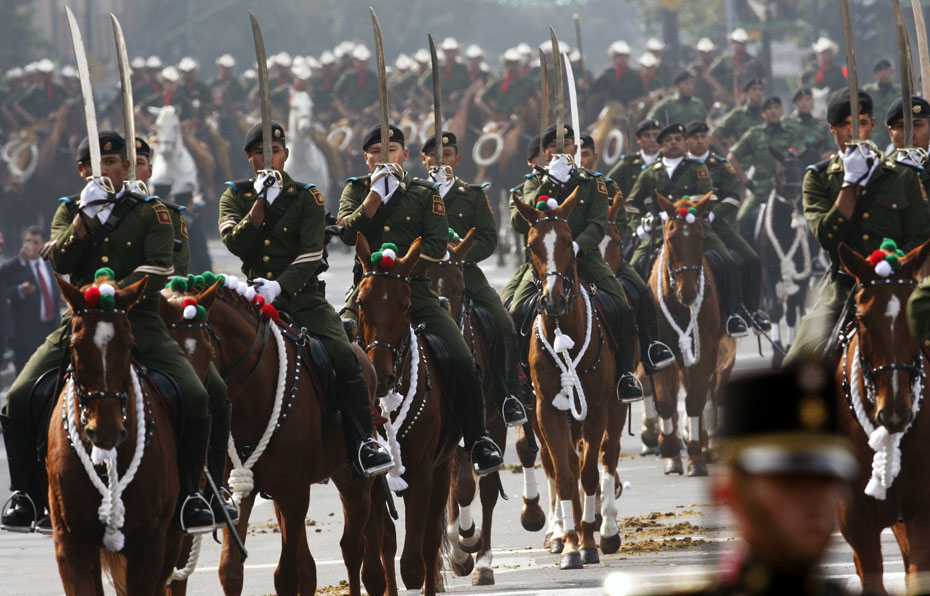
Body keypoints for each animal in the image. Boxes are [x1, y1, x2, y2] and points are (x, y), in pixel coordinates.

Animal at [162, 276, 376, 596]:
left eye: (208, 352)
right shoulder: (240, 490)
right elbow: (231, 570)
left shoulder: (294, 492)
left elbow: (286, 575)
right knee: (311, 566)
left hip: (353, 481)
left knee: (352, 549)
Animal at [353, 234, 457, 596]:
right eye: (361, 303)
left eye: (406, 305)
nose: (380, 376)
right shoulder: (370, 481)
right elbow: (373, 567)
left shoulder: (423, 474)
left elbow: (414, 561)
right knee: (387, 545)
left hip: (442, 470)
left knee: (428, 545)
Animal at [511, 189, 626, 569]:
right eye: (531, 244)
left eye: (567, 240)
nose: (553, 298)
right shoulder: (546, 410)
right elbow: (563, 473)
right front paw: (572, 544)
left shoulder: (599, 408)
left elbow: (589, 471)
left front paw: (590, 541)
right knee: (559, 463)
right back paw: (563, 532)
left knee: (605, 455)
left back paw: (603, 530)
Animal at [646, 193, 737, 476]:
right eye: (671, 237)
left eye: (700, 236)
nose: (688, 292)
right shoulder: (660, 351)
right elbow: (665, 400)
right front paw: (671, 451)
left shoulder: (707, 348)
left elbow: (696, 398)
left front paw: (695, 455)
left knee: (709, 389)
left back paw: (707, 444)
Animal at [757, 153, 812, 365]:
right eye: (783, 173)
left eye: (802, 169)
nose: (799, 200)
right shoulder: (767, 270)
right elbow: (775, 310)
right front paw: (776, 351)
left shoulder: (801, 274)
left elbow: (789, 314)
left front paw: (787, 348)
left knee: (796, 308)